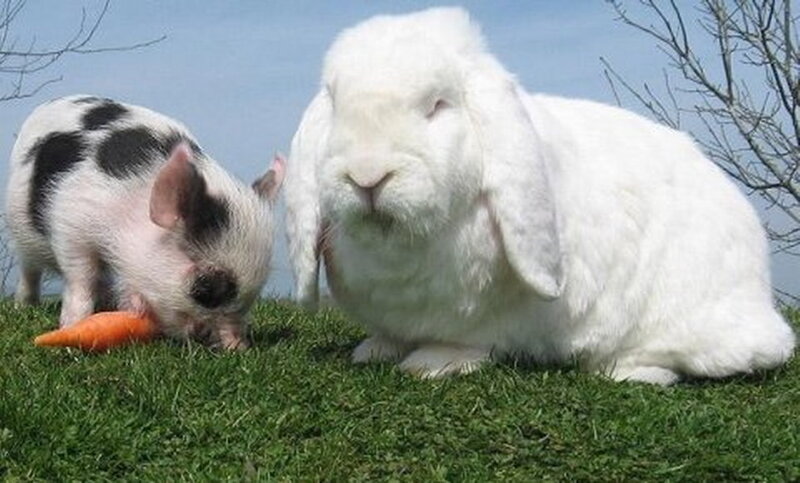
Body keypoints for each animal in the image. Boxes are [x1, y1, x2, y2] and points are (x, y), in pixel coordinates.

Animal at [5, 95, 284, 349]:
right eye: (205, 287)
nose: (239, 347)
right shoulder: (71, 224)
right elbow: (81, 279)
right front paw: (71, 327)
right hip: (21, 229)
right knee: (30, 269)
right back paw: (24, 306)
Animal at [283, 7, 796, 384]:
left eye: (438, 106)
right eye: (335, 104)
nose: (367, 176)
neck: (396, 245)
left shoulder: (487, 319)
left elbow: (466, 342)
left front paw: (430, 365)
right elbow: (388, 337)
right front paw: (373, 351)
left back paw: (629, 373)